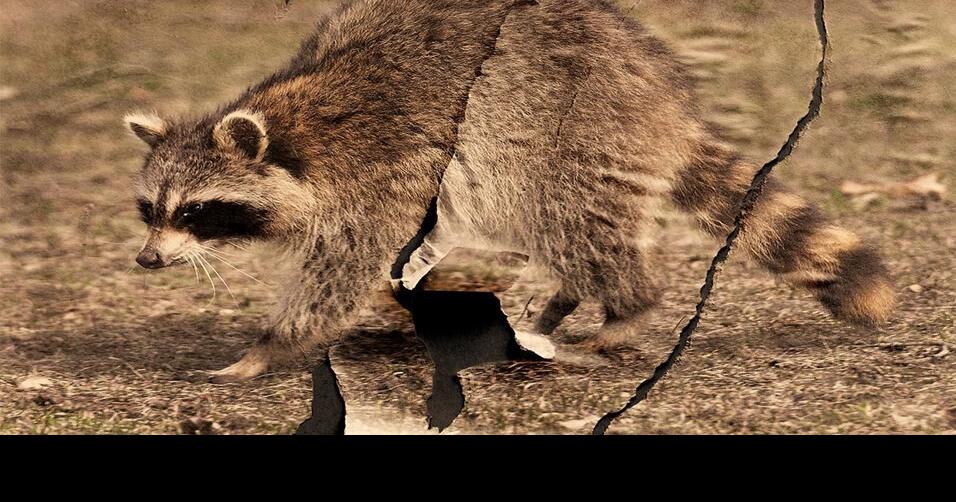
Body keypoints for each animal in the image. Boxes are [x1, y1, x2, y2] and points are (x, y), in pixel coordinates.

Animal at [126, 0, 895, 383]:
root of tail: (666, 101)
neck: (296, 130)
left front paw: (266, 347)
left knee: (575, 223)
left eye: (197, 210)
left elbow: (337, 274)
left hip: (569, 134)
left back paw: (628, 307)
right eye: (149, 209)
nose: (146, 260)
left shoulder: (384, 173)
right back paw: (564, 302)